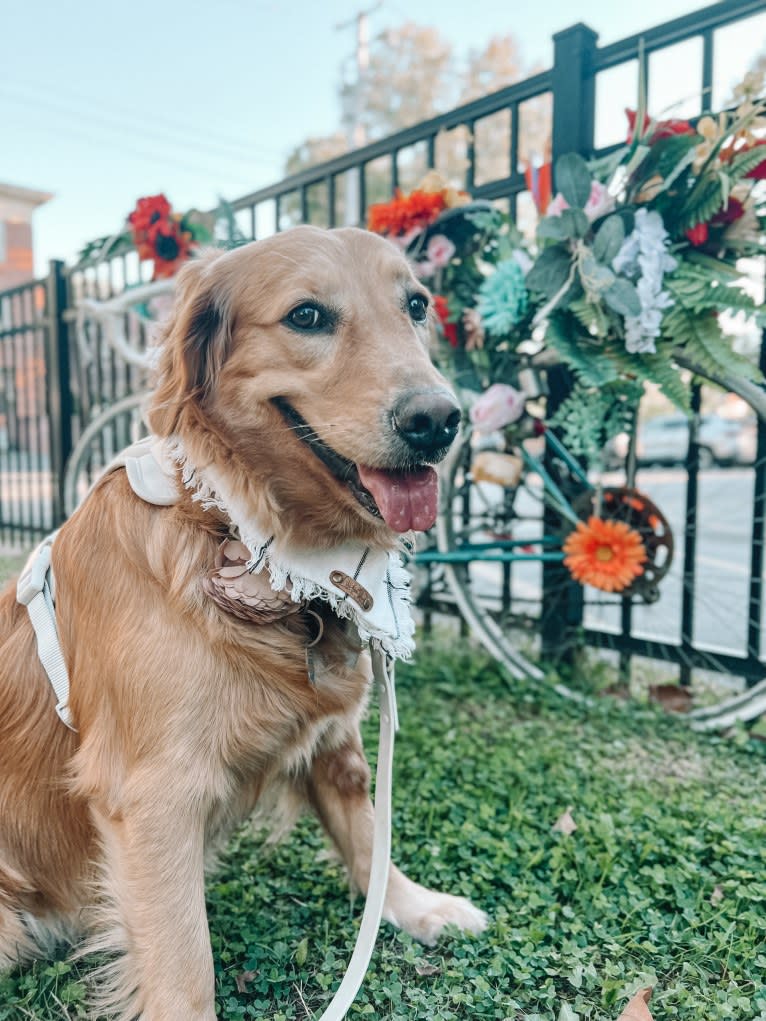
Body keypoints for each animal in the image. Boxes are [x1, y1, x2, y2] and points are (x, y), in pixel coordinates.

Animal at [0, 227, 488, 1016]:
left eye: (416, 305)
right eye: (307, 316)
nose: (437, 420)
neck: (234, 523)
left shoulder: (335, 739)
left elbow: (369, 834)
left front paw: (415, 906)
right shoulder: (153, 794)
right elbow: (184, 963)